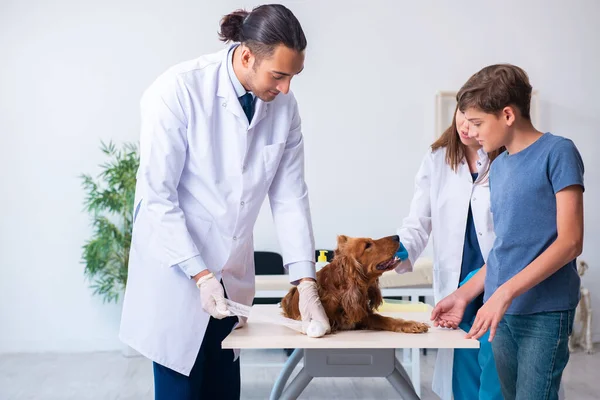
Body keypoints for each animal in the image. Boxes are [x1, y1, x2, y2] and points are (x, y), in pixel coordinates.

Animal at [280, 234, 426, 334]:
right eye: (367, 245)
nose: (397, 236)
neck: (341, 291)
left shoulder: (362, 315)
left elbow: (386, 319)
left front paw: (411, 324)